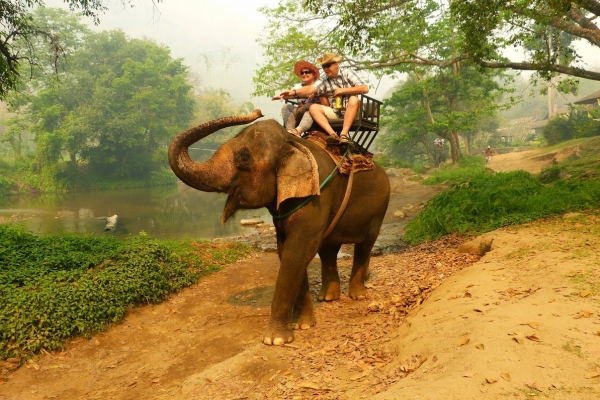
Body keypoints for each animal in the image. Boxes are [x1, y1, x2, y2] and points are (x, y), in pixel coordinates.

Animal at [168, 108, 390, 344]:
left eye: (243, 157)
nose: (257, 111)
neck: (292, 143)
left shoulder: (317, 195)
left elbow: (297, 250)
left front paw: (275, 340)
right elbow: (288, 252)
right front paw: (303, 325)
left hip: (381, 207)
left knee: (366, 243)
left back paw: (357, 295)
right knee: (329, 249)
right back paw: (328, 297)